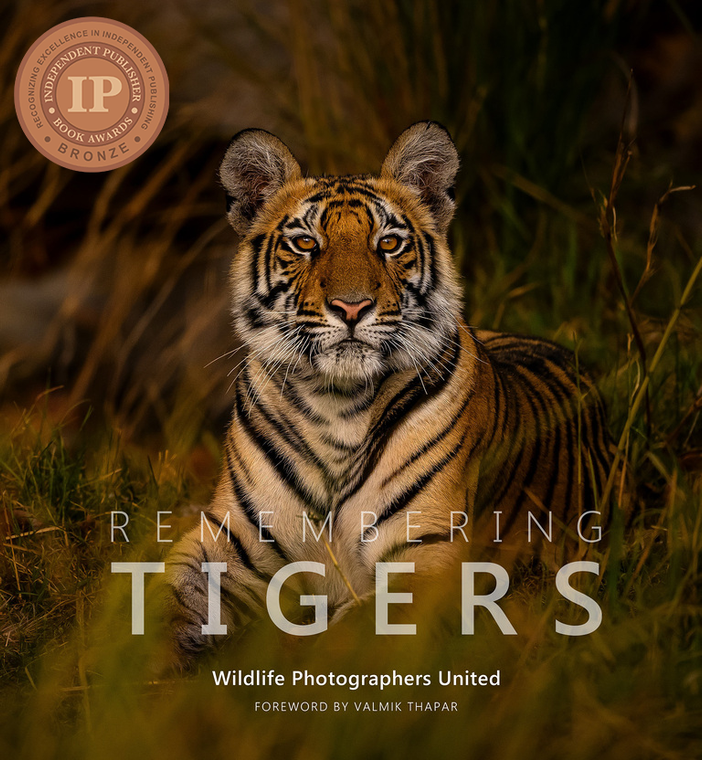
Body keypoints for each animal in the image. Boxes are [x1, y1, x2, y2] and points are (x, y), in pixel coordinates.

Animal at [163, 121, 612, 665]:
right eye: (305, 243)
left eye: (390, 243)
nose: (352, 307)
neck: (334, 402)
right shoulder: (232, 540)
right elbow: (167, 600)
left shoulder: (425, 557)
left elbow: (344, 640)